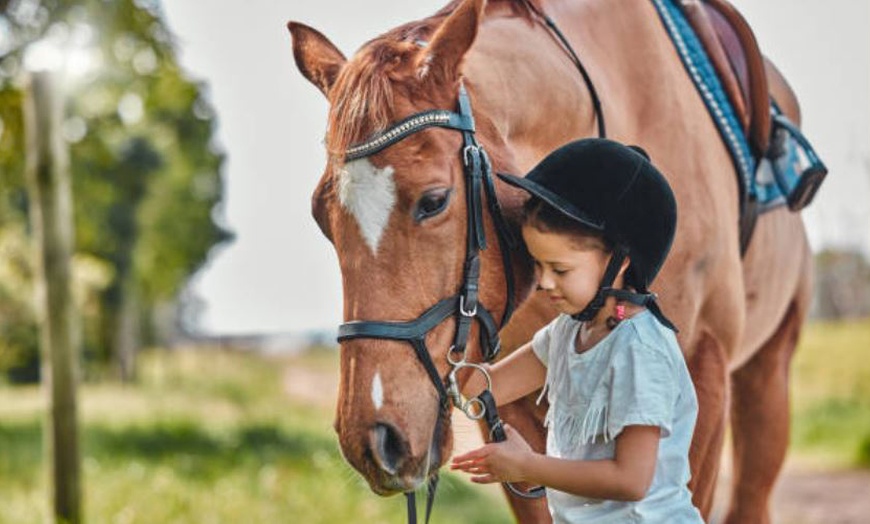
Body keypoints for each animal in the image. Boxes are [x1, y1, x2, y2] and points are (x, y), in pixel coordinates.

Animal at [290, 2, 816, 520]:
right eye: (319, 214)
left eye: (434, 201)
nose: (374, 441)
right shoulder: (511, 402)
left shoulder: (703, 376)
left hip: (766, 379)